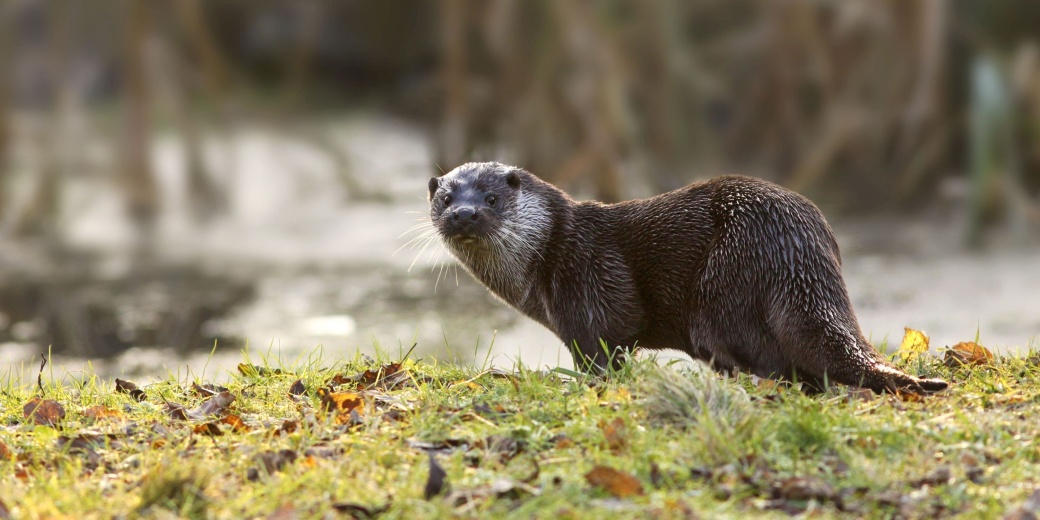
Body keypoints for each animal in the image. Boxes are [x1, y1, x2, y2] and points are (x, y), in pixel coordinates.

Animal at [424, 162, 952, 393]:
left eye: (491, 198)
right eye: (445, 198)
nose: (465, 213)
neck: (548, 252)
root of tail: (794, 245)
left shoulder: (591, 281)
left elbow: (605, 347)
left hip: (724, 286)